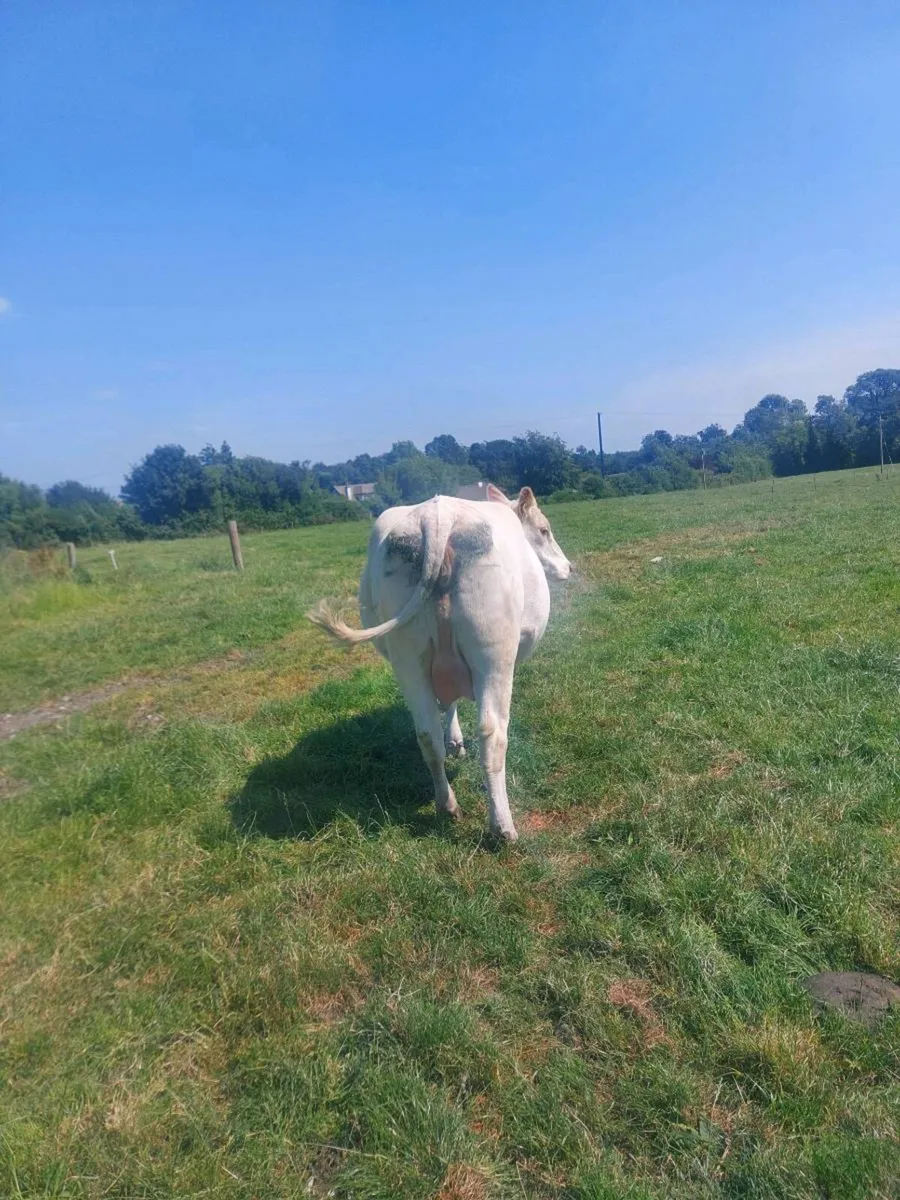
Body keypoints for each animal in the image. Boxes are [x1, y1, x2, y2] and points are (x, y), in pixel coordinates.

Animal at [308, 485, 571, 841]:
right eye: (544, 530)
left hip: (407, 655)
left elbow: (448, 705)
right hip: (494, 652)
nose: (569, 567)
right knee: (491, 733)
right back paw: (502, 826)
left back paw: (447, 805)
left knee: (426, 733)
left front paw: (454, 741)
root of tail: (438, 517)